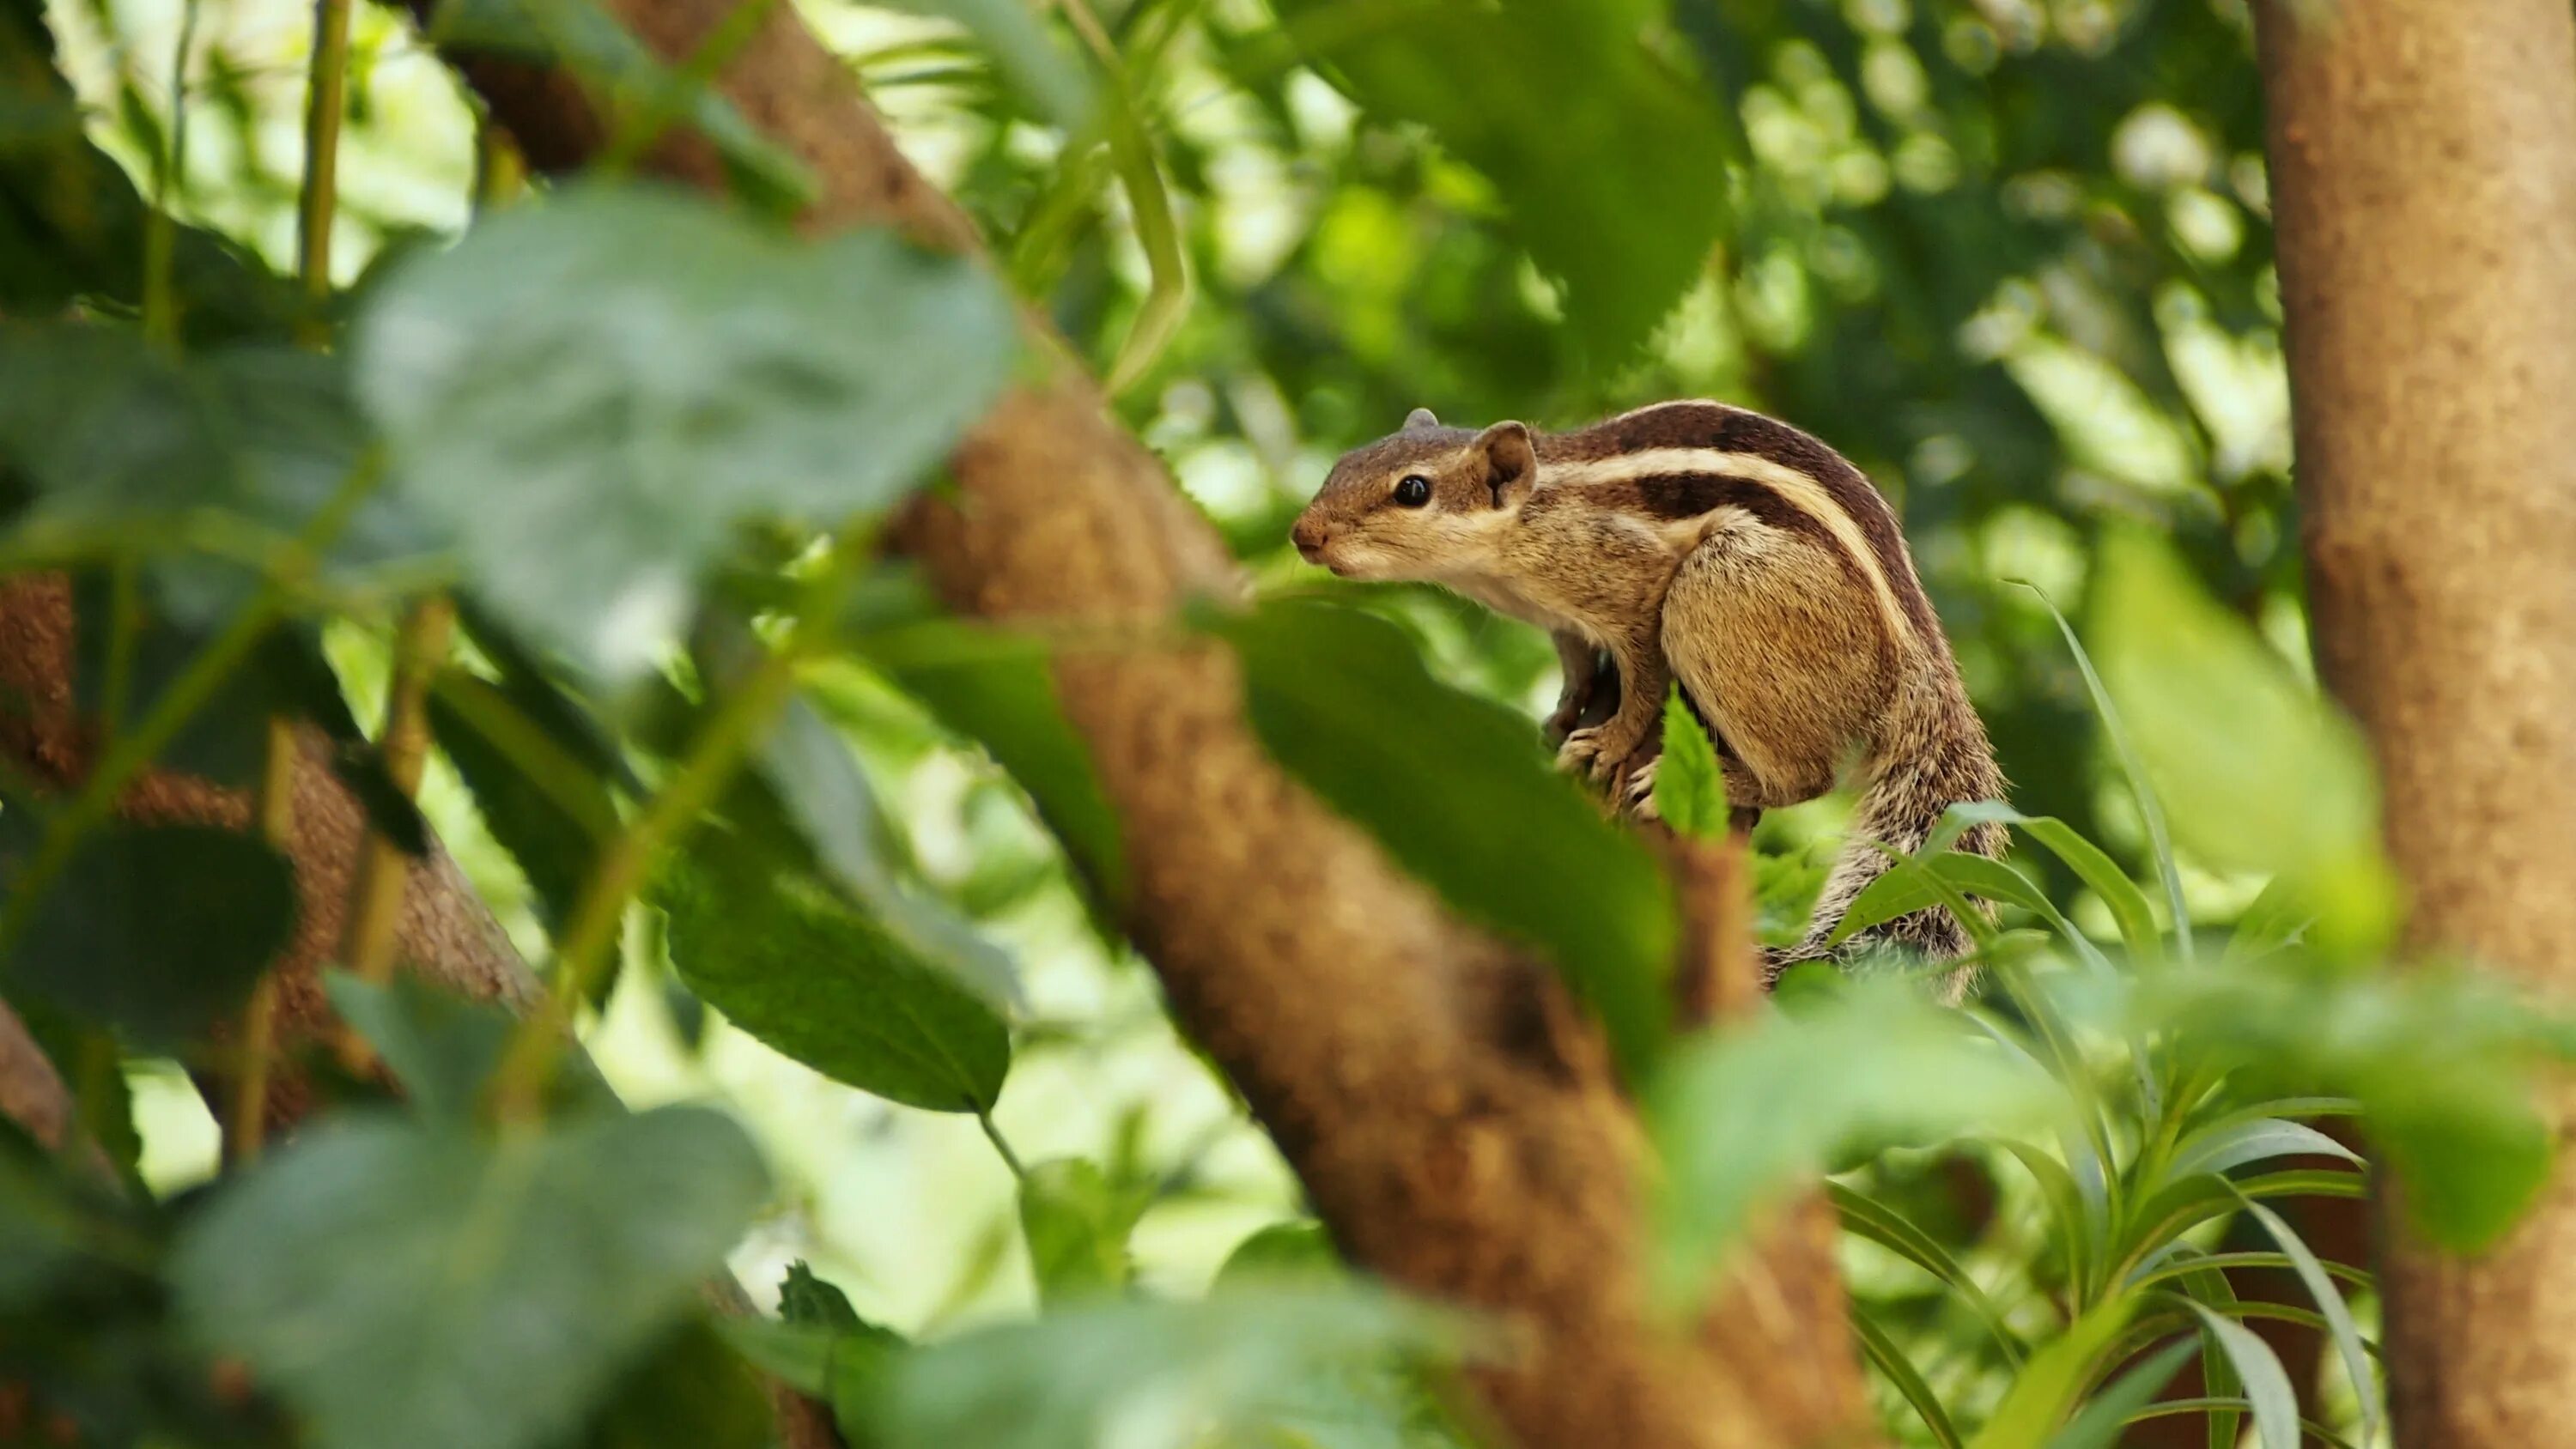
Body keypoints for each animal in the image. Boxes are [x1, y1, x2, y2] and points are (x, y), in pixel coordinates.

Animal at [1288, 396, 2009, 973]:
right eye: (1347, 461)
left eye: (1413, 491)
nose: (1303, 533)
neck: (1523, 530)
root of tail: (1919, 668)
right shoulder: (1562, 621)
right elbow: (1578, 667)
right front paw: (1562, 718)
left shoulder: (1635, 590)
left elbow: (1642, 680)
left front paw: (1607, 744)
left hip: (1715, 594)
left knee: (1807, 777)